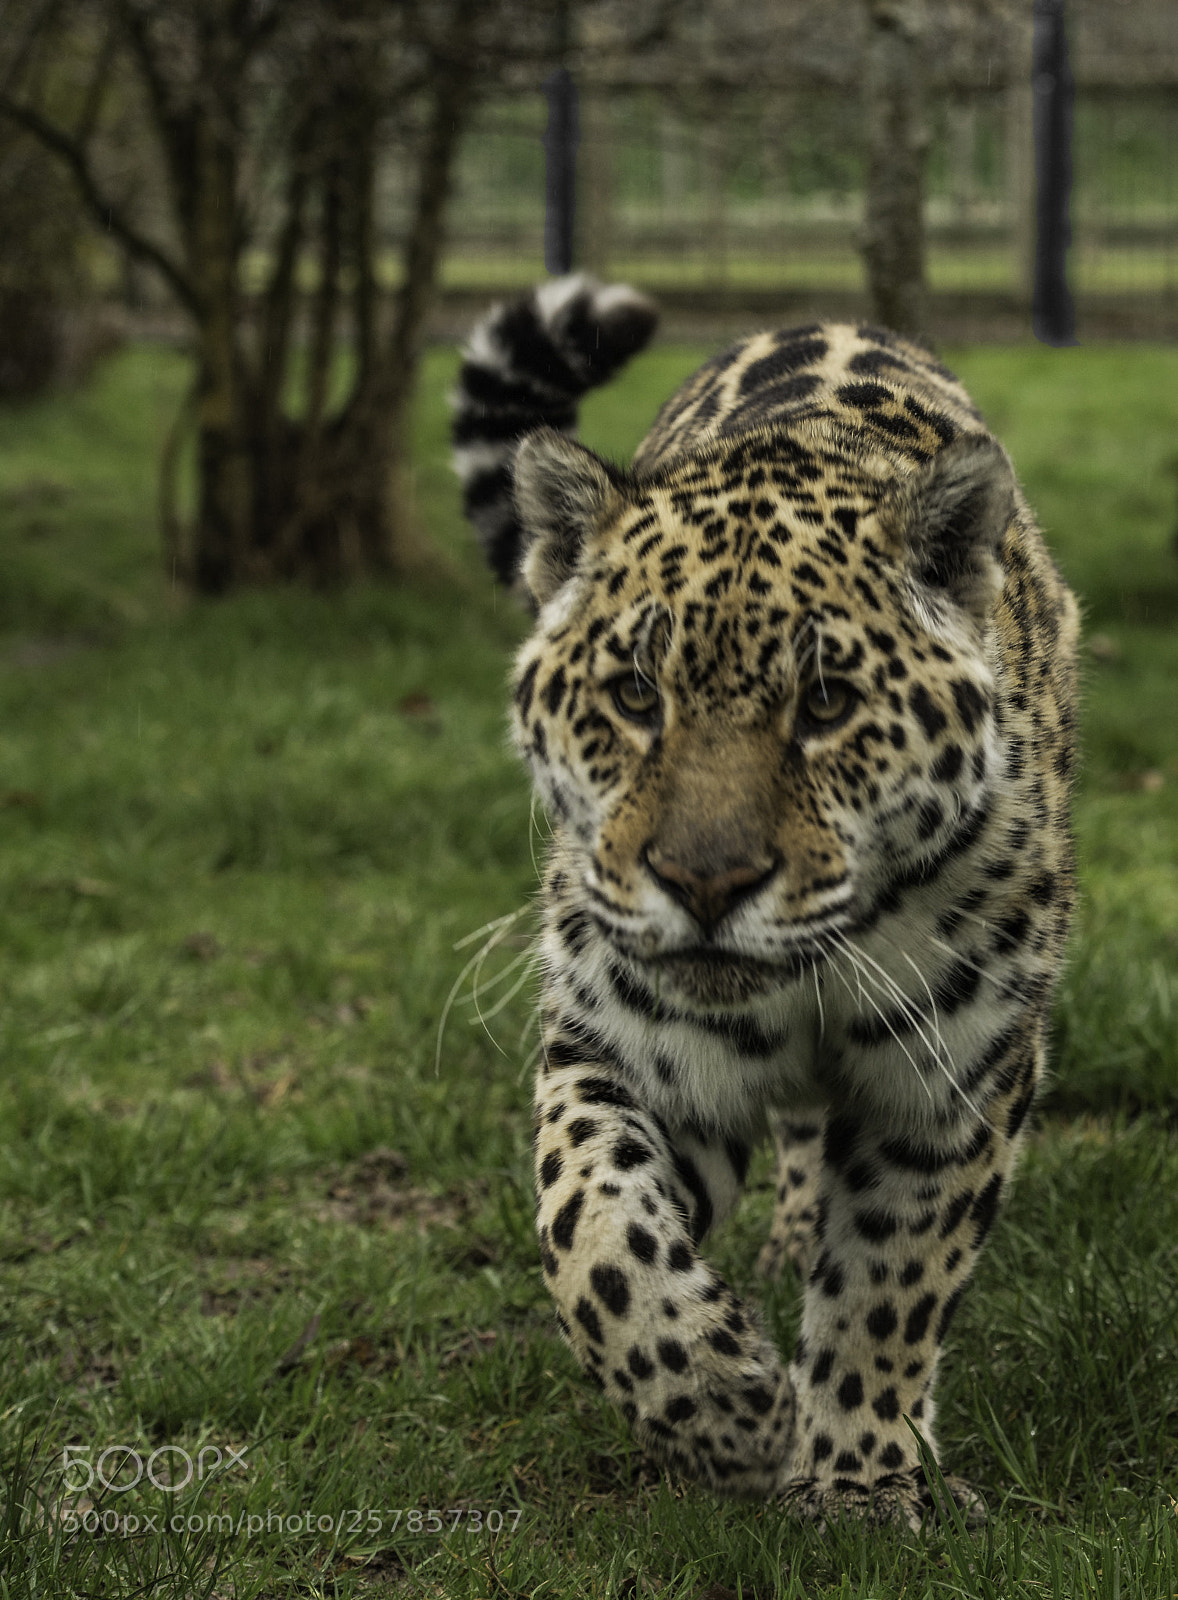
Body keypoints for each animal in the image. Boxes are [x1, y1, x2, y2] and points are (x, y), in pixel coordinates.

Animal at [451, 274, 1078, 1528]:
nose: (704, 882)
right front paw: (727, 1402)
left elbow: (892, 1282)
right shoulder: (620, 1043)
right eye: (633, 694)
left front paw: (856, 1473)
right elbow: (592, 1231)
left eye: (825, 702)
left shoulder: (953, 1084)